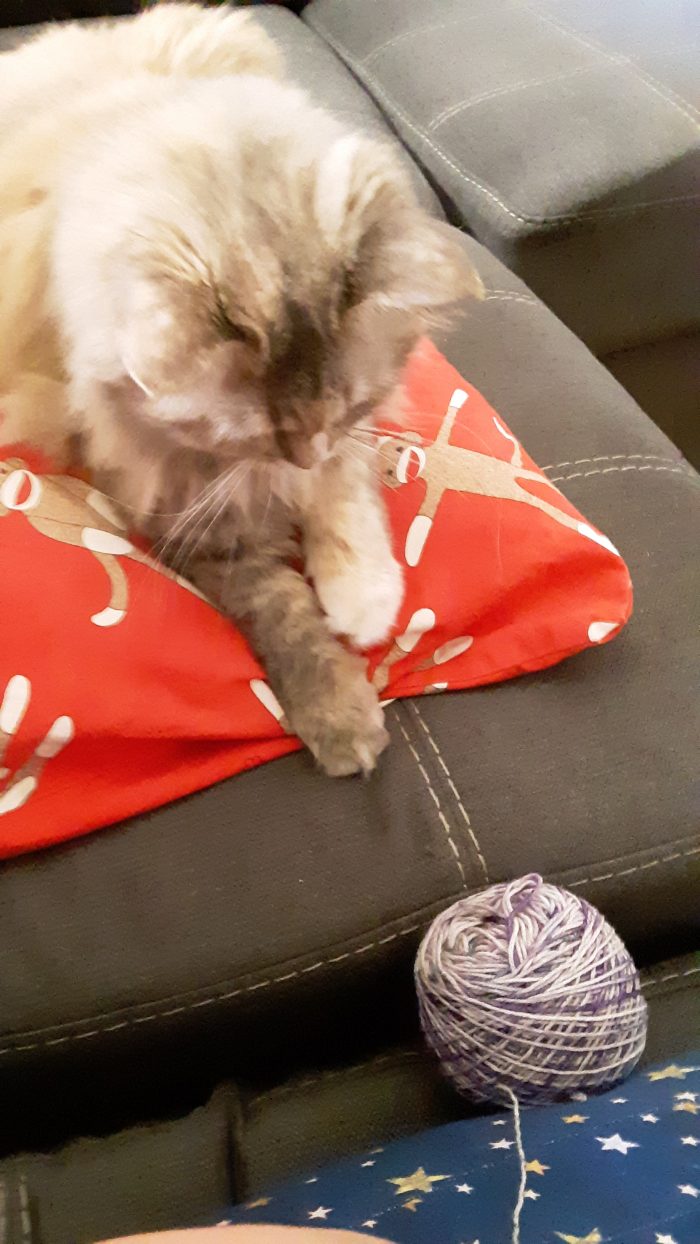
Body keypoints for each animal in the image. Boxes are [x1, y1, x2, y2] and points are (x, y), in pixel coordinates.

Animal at [0, 2, 482, 776]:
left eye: (344, 408)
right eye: (259, 434)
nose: (306, 454)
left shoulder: (345, 441)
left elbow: (346, 501)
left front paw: (364, 598)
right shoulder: (179, 510)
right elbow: (280, 608)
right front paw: (341, 714)